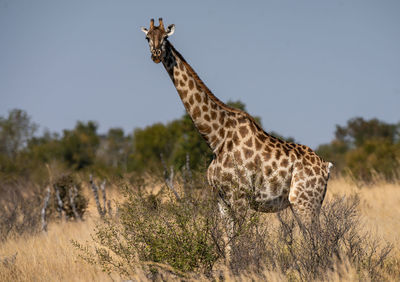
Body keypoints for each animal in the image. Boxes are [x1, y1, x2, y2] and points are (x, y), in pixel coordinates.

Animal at [141, 18, 332, 227]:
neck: (216, 138)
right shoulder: (222, 200)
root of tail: (327, 167)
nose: (156, 55)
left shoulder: (240, 198)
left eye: (165, 38)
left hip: (305, 203)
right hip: (304, 205)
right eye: (147, 37)